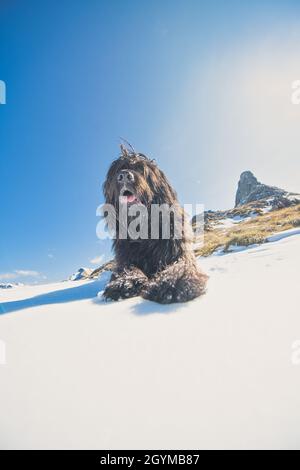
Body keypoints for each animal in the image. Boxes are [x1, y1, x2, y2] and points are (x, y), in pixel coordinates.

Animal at [102, 145, 207, 302]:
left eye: (141, 168)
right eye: (118, 169)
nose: (124, 175)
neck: (144, 227)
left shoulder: (178, 251)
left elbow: (182, 265)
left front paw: (173, 283)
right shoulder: (125, 256)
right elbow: (126, 268)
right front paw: (125, 282)